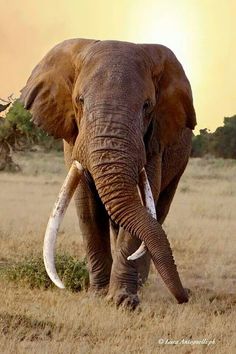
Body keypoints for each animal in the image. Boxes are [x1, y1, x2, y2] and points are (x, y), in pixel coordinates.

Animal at [20, 38, 196, 308]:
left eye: (147, 106)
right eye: (80, 100)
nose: (185, 296)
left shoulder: (154, 140)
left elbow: (144, 203)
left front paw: (123, 301)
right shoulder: (74, 139)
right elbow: (87, 207)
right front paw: (97, 296)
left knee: (160, 209)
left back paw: (140, 284)